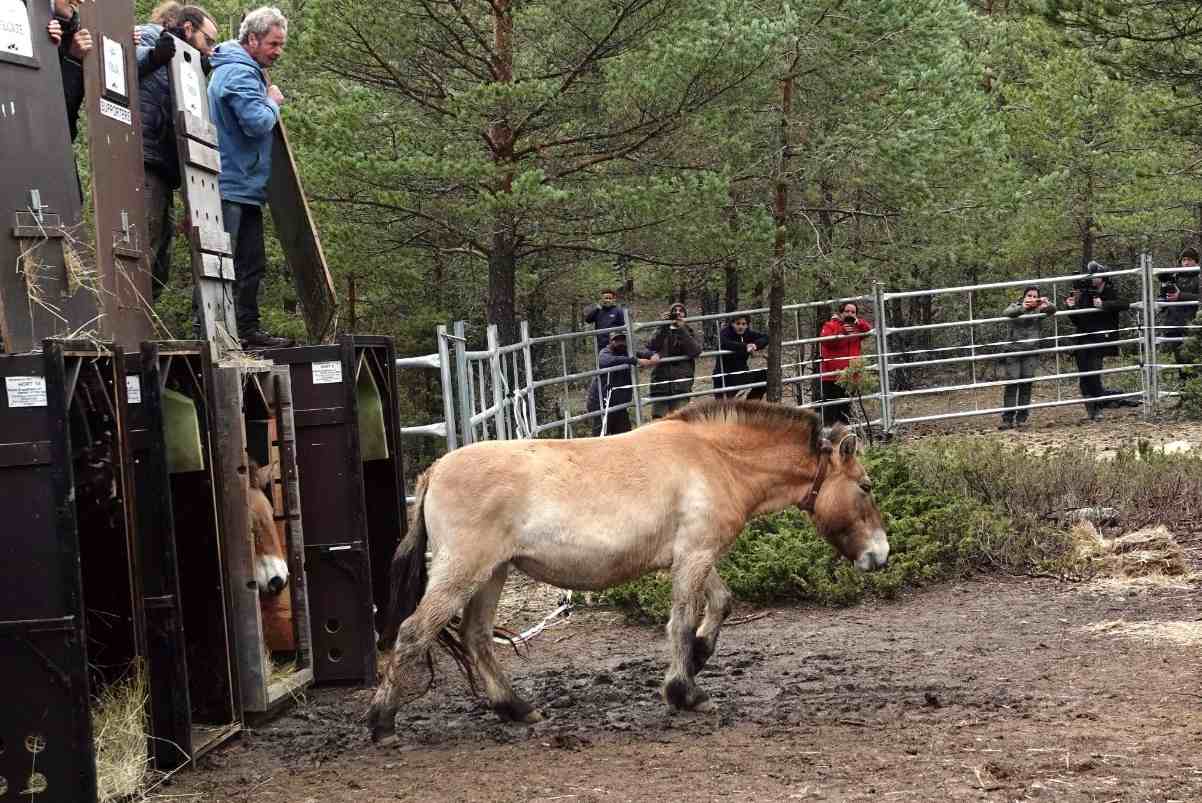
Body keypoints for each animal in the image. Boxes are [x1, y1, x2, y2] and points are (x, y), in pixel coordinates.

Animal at [368, 399, 889, 745]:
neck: (715, 459)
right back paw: (382, 723)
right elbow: (682, 620)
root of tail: (435, 470)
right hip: (463, 572)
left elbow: (720, 604)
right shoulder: (695, 554)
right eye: (865, 486)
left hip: (492, 574)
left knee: (476, 637)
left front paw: (699, 657)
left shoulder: (691, 555)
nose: (881, 555)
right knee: (414, 633)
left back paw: (516, 709)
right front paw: (685, 692)